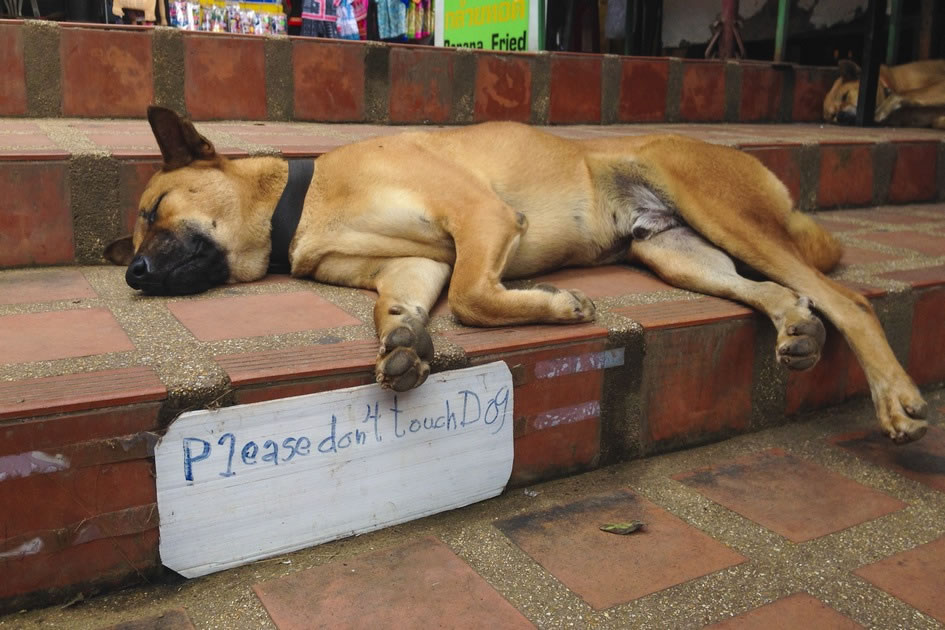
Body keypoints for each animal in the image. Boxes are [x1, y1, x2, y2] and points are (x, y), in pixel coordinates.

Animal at [105, 107, 928, 444]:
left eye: (154, 210)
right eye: (138, 228)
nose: (135, 274)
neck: (302, 206)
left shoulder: (482, 218)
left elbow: (474, 297)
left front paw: (555, 305)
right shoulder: (414, 263)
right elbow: (399, 308)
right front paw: (402, 342)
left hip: (717, 205)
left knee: (846, 298)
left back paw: (894, 396)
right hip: (676, 250)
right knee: (779, 293)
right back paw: (795, 331)